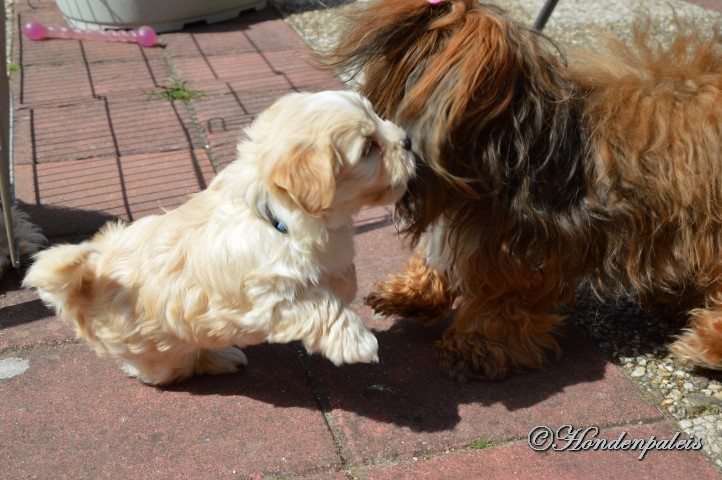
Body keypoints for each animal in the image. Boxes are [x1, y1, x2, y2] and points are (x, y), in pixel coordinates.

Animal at [23, 91, 410, 386]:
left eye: (378, 117)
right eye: (369, 148)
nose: (407, 140)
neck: (276, 214)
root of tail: (86, 282)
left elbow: (338, 276)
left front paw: (348, 283)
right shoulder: (270, 297)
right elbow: (322, 306)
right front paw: (357, 342)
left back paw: (224, 355)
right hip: (156, 354)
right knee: (161, 369)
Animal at [324, 0, 720, 382]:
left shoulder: (517, 249)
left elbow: (502, 299)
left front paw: (475, 346)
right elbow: (435, 256)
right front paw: (412, 293)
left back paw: (704, 345)